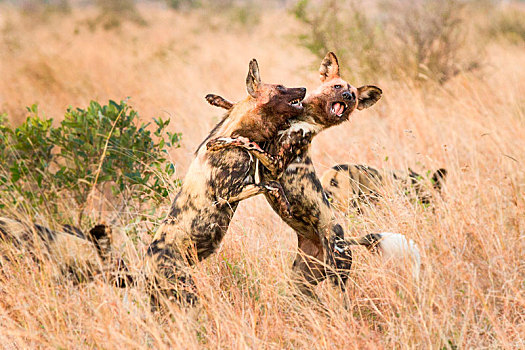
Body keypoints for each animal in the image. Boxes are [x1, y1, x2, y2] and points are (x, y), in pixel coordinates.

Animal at [144, 58, 308, 304]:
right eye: (281, 88)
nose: (305, 89)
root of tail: (145, 269)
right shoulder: (225, 196)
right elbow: (270, 184)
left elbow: (232, 107)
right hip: (186, 292)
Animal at [205, 52, 380, 298]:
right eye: (337, 86)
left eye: (353, 96)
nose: (347, 96)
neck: (303, 117)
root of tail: (346, 241)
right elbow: (237, 106)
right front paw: (217, 99)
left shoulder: (275, 163)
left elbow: (245, 142)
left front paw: (221, 142)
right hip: (301, 283)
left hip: (336, 278)